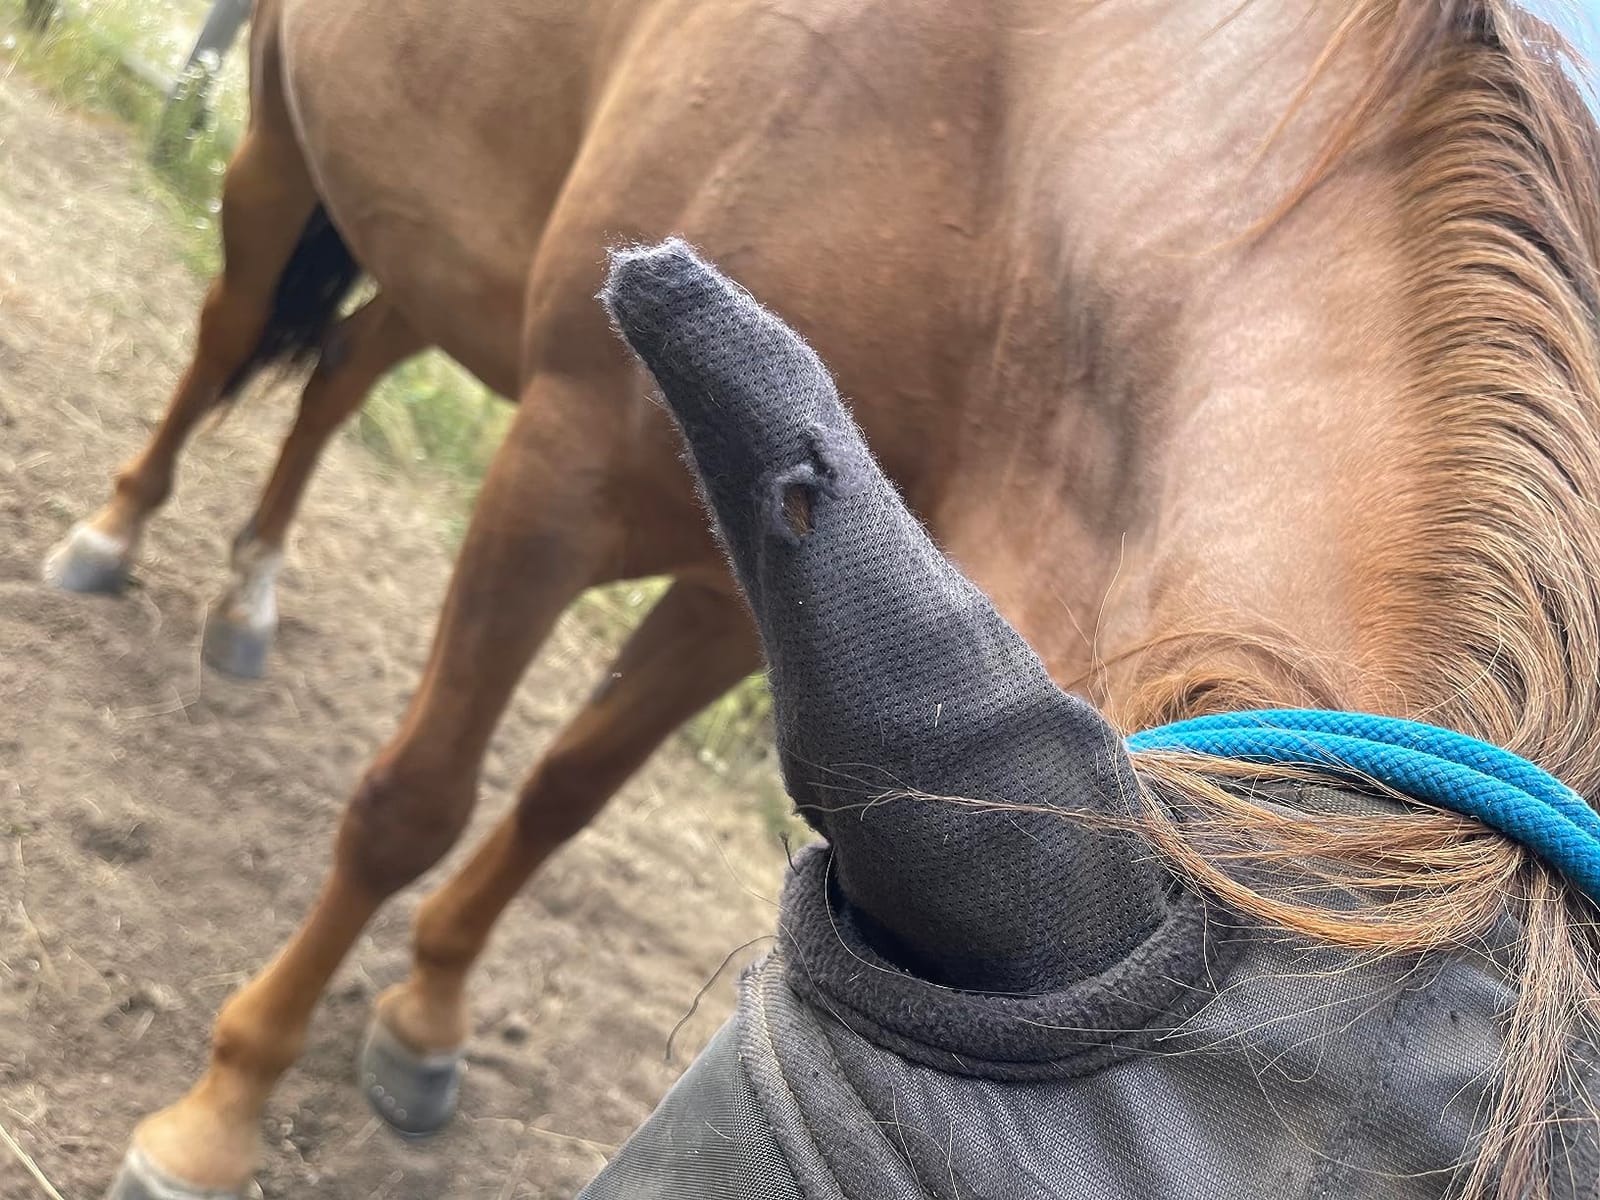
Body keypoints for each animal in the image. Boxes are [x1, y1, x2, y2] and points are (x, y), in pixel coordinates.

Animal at [40, 0, 1598, 1196]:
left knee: (347, 369)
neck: (1010, 150)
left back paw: (247, 598)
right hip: (280, 142)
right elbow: (416, 801)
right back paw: (109, 536)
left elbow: (562, 795)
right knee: (230, 332)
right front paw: (217, 1115)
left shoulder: (767, 593)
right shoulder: (561, 472)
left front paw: (426, 1016)